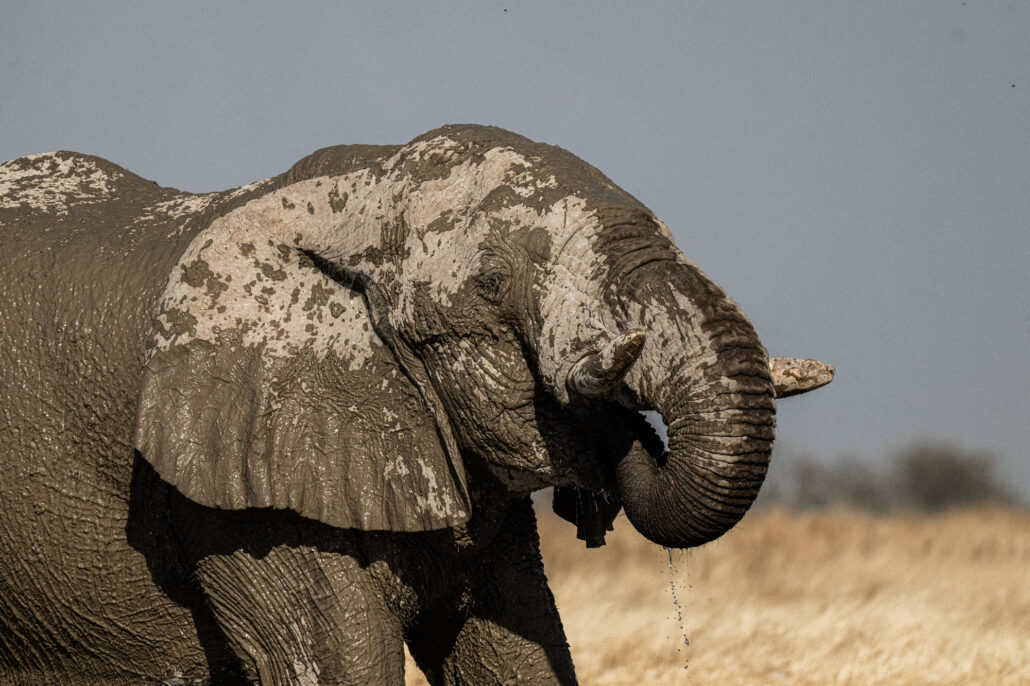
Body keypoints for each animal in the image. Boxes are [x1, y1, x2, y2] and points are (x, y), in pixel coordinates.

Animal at [0, 125, 832, 685]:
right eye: (493, 283)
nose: (621, 423)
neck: (357, 200)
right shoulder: (239, 496)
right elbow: (337, 663)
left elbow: (519, 655)